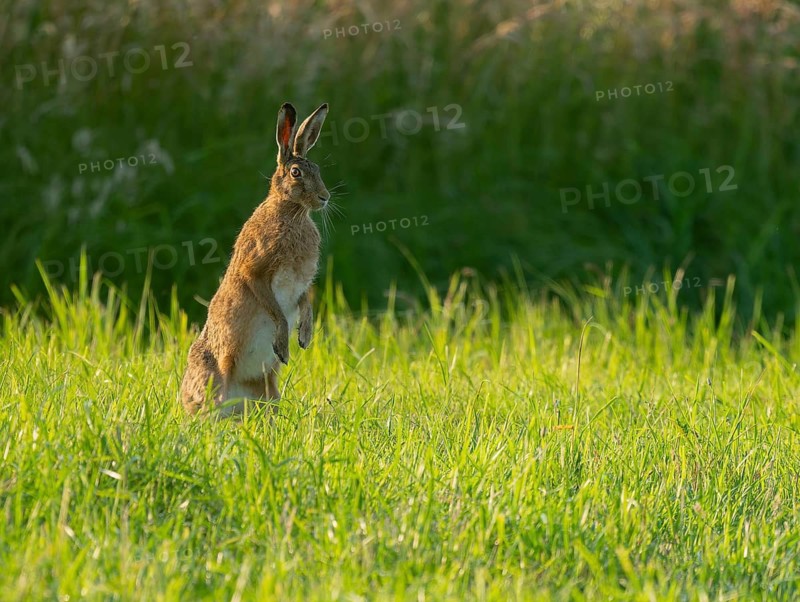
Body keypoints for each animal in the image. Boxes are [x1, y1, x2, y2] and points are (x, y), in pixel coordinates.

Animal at [180, 102, 331, 416]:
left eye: (318, 170)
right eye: (296, 172)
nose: (325, 197)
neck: (291, 212)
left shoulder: (301, 285)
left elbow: (305, 304)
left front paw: (305, 337)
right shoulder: (255, 272)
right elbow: (277, 312)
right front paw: (284, 347)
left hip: (267, 387)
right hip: (216, 377)